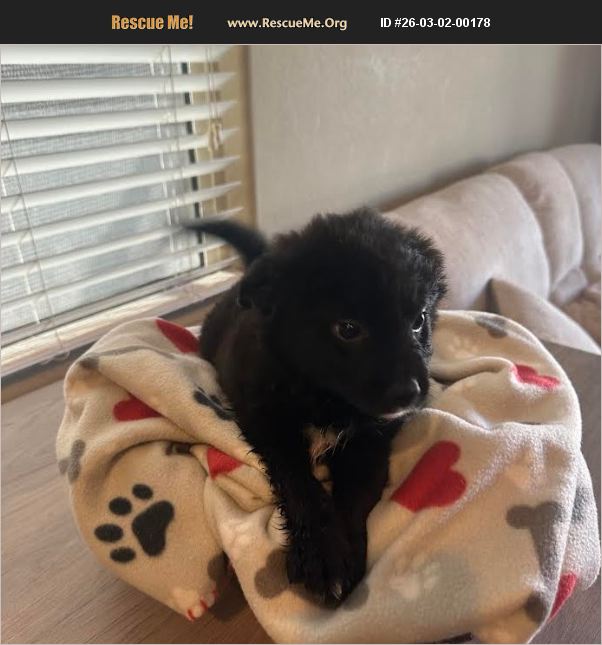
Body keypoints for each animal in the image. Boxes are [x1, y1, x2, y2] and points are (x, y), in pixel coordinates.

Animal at [185, 208, 446, 605]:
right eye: (348, 328)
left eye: (418, 321)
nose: (410, 392)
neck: (325, 396)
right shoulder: (269, 425)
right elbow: (299, 484)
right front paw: (324, 556)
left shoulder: (368, 441)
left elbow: (356, 492)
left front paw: (345, 555)